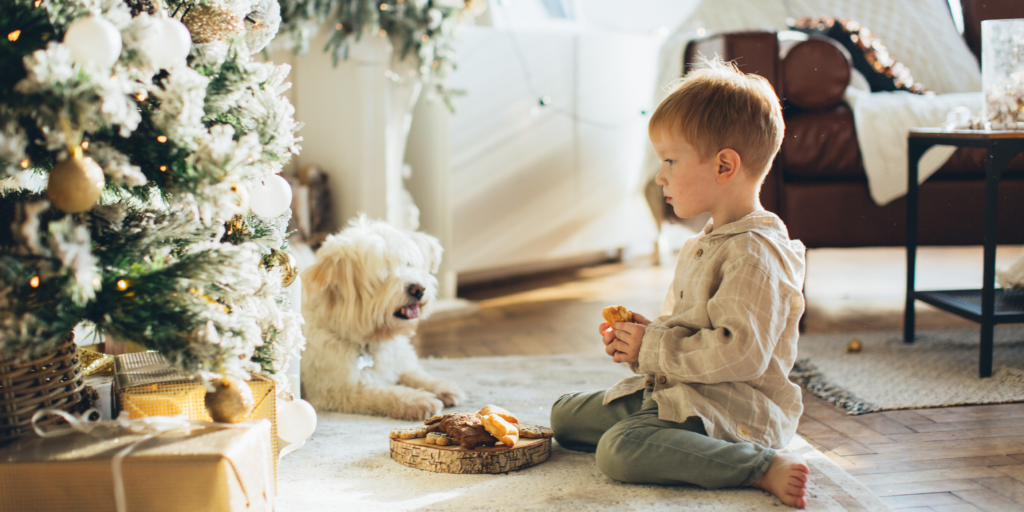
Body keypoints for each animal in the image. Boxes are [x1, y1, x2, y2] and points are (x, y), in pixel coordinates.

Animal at [299, 216, 464, 419]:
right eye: (384, 274)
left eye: (408, 264)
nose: (418, 289)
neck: (370, 340)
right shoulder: (339, 391)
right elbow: (384, 392)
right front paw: (418, 400)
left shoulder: (399, 363)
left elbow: (414, 374)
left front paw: (441, 386)